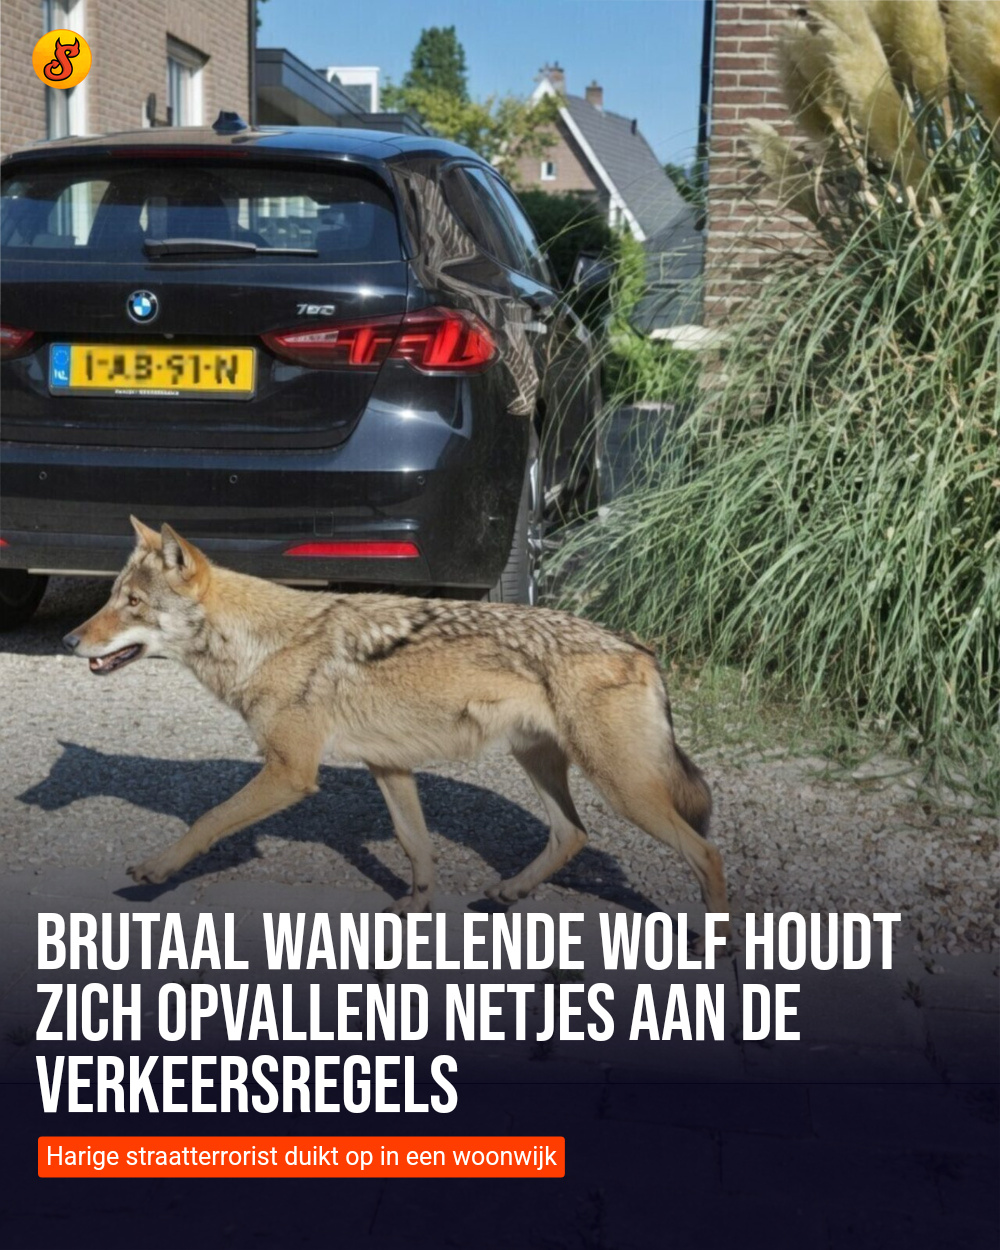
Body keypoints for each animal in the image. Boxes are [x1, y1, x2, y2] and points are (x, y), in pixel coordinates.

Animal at [64, 519, 729, 936]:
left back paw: (712, 943)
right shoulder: (388, 766)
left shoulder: (291, 773)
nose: (69, 640)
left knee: (706, 851)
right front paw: (417, 906)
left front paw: (156, 871)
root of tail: (639, 648)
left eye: (132, 605)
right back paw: (510, 892)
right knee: (573, 835)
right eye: (112, 597)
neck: (264, 644)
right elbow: (417, 847)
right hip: (544, 765)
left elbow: (207, 820)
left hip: (624, 789)